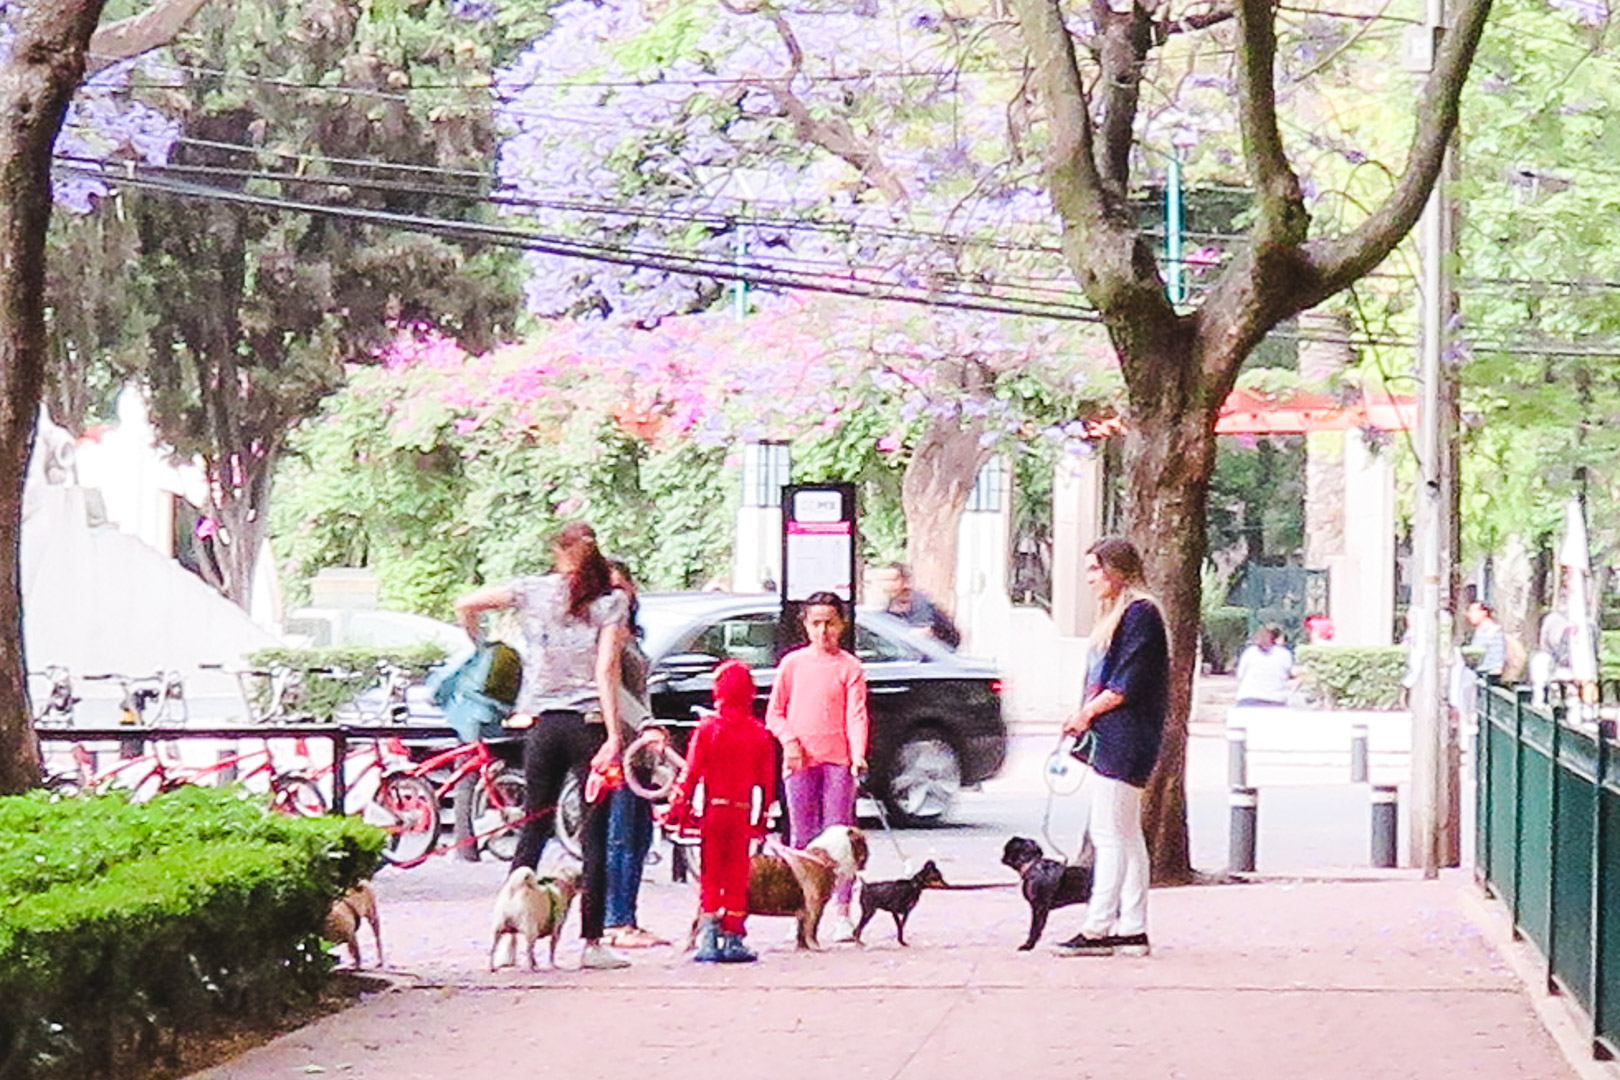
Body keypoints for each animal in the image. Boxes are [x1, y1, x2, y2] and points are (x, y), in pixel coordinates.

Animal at [686, 822, 868, 952]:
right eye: (863, 844)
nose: (867, 855)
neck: (823, 856)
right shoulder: (815, 906)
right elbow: (811, 928)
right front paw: (814, 946)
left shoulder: (805, 910)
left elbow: (801, 929)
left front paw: (802, 947)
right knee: (702, 923)